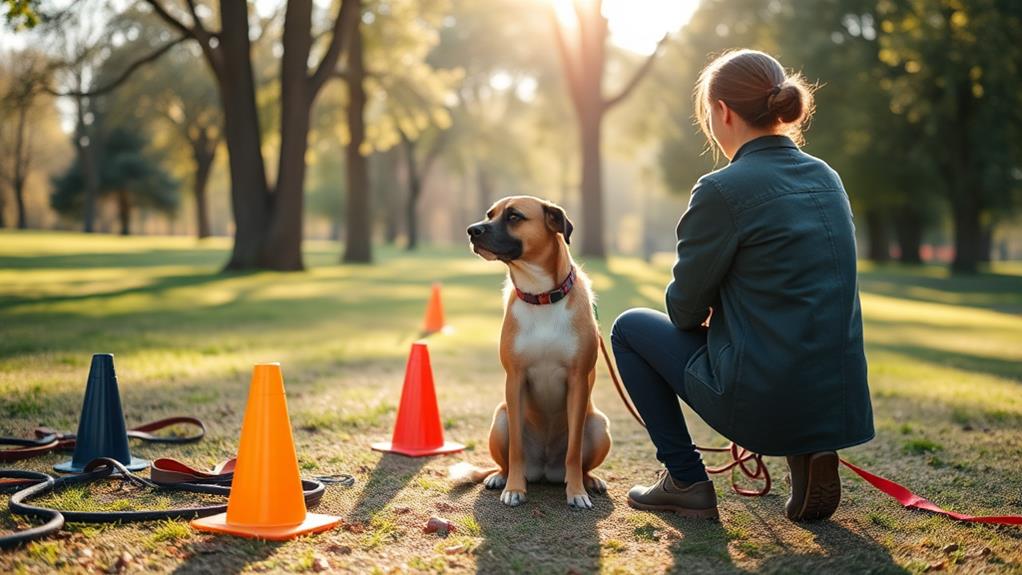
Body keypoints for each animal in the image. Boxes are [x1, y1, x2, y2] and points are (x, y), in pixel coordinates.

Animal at [451, 197, 609, 508]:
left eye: (514, 216)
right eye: (490, 214)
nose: (472, 230)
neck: (541, 296)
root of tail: (546, 470)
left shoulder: (577, 381)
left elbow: (574, 451)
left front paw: (576, 492)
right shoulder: (515, 380)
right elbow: (516, 449)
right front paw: (514, 488)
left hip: (598, 425)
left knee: (581, 462)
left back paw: (589, 480)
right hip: (500, 418)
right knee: (506, 460)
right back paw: (500, 477)